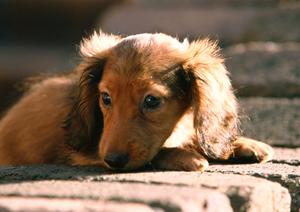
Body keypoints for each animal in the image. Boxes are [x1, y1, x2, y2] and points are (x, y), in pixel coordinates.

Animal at [0, 31, 274, 171]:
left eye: (151, 101)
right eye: (106, 98)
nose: (114, 161)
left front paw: (242, 144)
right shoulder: (85, 152)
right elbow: (159, 151)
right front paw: (185, 156)